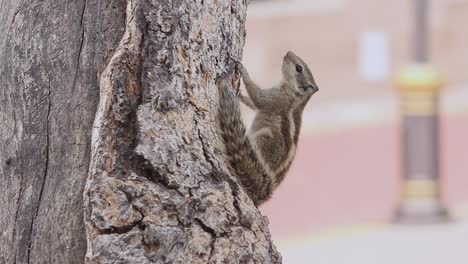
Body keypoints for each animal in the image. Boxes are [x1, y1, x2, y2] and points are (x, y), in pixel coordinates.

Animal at [218, 50, 320, 205]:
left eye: (299, 68)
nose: (288, 52)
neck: (295, 95)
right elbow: (254, 103)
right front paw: (240, 94)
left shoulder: (276, 99)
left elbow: (258, 98)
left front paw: (243, 72)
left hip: (264, 138)